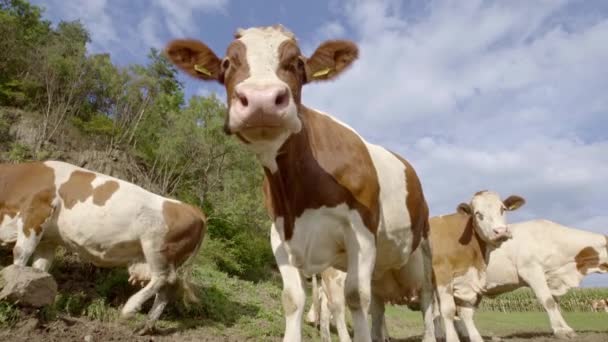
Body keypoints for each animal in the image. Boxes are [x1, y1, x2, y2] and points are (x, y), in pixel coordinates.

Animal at [0, 161, 207, 334]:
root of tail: (193, 209)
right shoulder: (48, 239)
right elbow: (40, 268)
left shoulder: (35, 213)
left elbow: (21, 253)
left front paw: (12, 283)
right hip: (169, 257)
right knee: (168, 288)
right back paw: (146, 326)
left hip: (157, 247)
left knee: (163, 278)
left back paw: (130, 308)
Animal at [165, 24, 436, 342]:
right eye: (227, 63)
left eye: (296, 63)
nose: (261, 99)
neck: (300, 196)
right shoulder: (280, 236)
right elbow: (293, 298)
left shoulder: (362, 230)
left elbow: (356, 297)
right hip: (381, 265)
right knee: (379, 305)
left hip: (425, 243)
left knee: (428, 300)